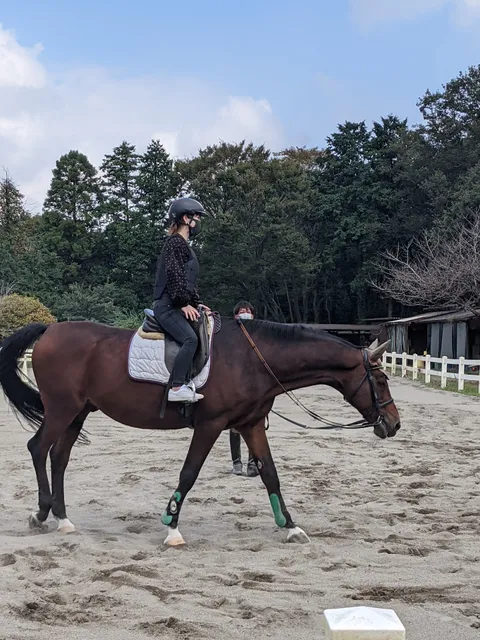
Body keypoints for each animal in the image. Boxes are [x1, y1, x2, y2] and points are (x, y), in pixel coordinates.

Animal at [0, 317, 400, 546]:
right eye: (380, 380)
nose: (394, 424)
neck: (252, 359)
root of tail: (51, 329)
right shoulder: (210, 425)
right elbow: (189, 473)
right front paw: (172, 527)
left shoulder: (250, 425)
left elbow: (270, 474)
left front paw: (290, 526)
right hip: (61, 410)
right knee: (38, 448)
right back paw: (41, 514)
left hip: (78, 413)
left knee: (59, 457)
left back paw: (63, 519)